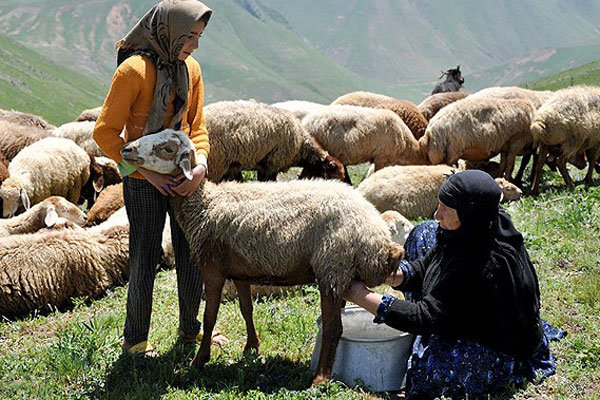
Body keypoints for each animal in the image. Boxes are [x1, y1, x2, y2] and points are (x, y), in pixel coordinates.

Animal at [120, 130, 406, 384]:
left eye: (167, 148)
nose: (127, 149)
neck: (204, 204)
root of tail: (377, 238)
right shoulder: (241, 271)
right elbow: (246, 310)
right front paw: (251, 347)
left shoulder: (213, 270)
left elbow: (210, 317)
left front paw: (199, 360)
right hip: (341, 272)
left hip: (332, 267)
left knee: (334, 327)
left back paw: (320, 379)